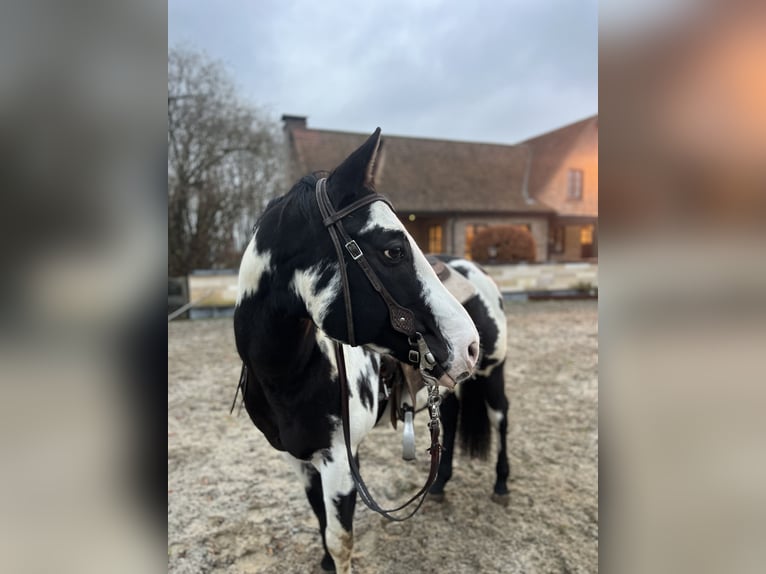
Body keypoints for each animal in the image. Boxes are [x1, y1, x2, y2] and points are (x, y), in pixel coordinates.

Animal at [232, 130, 480, 574]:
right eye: (393, 250)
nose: (468, 345)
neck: (289, 378)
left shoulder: (341, 464)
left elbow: (340, 539)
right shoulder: (301, 460)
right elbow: (320, 520)